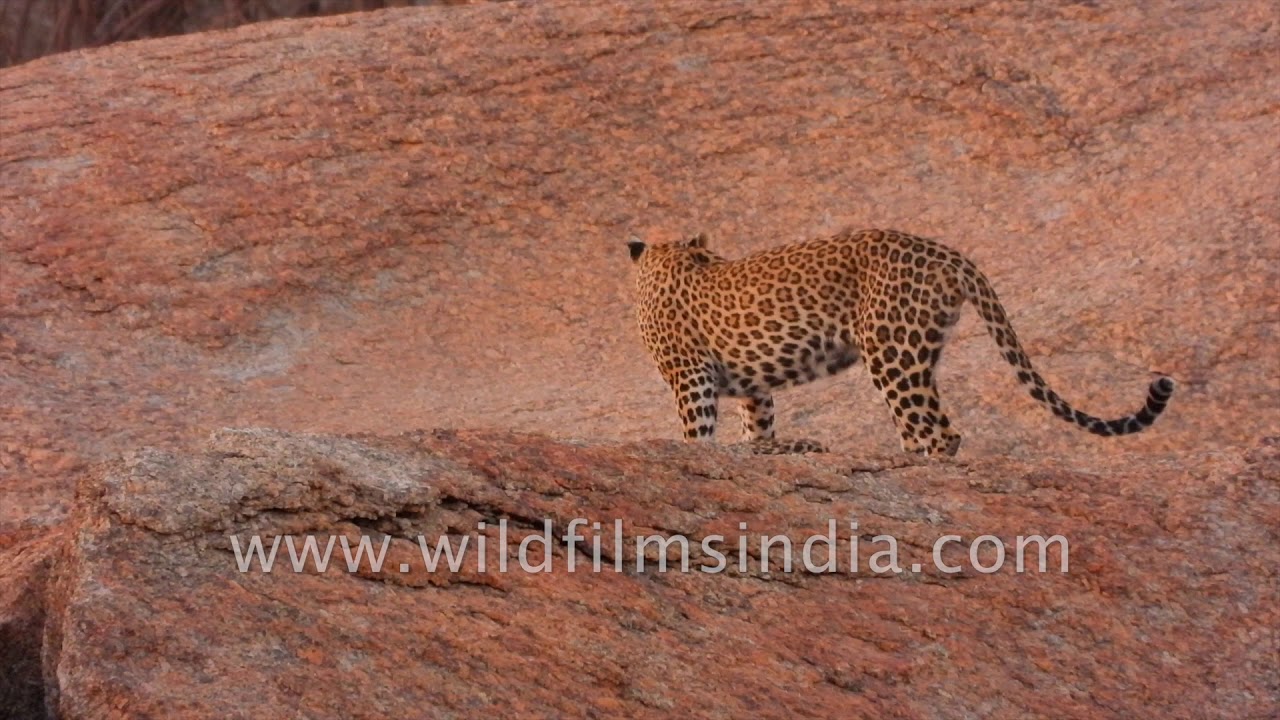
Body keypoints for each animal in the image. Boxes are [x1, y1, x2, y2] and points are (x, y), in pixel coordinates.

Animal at [627, 227, 1175, 456]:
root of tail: (950, 254)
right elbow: (757, 423)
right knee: (927, 428)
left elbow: (697, 432)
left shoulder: (689, 374)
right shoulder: (752, 390)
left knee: (939, 433)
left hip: (892, 351)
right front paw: (766, 448)